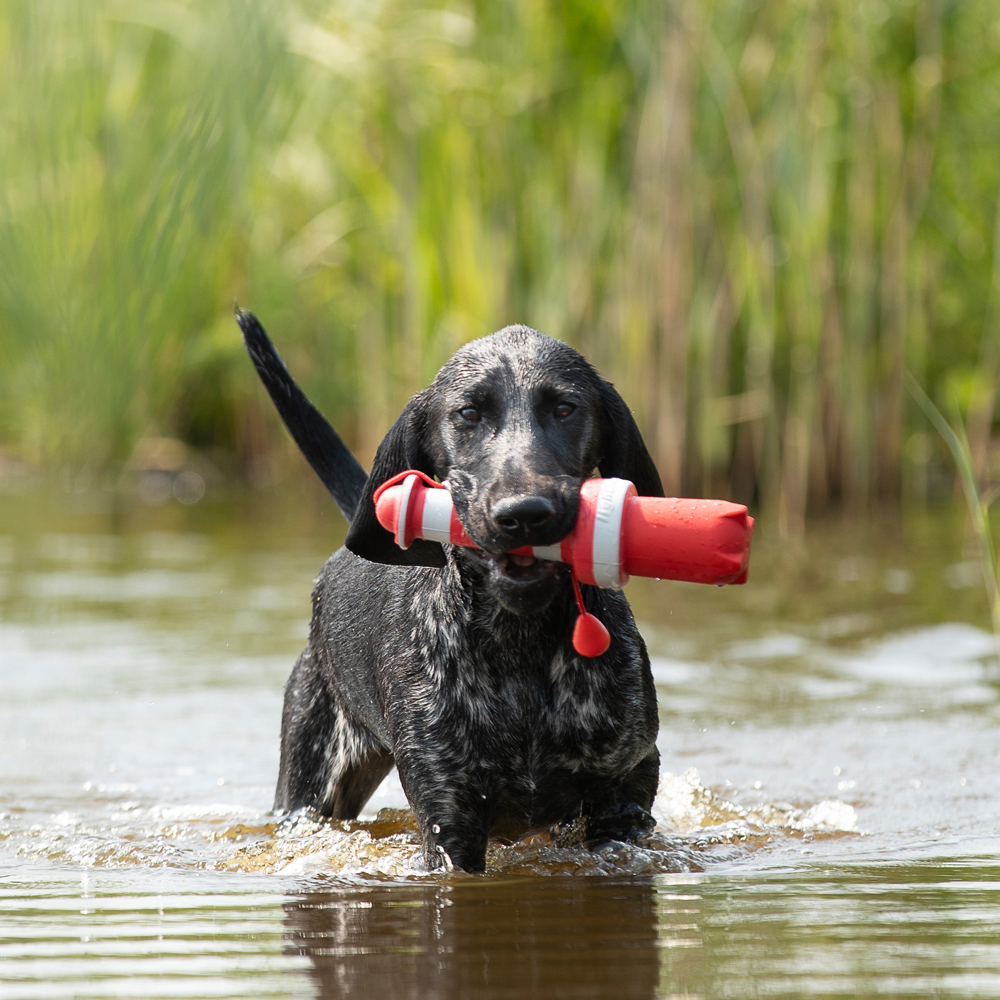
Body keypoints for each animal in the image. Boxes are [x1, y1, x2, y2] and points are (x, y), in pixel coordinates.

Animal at [235, 308, 664, 872]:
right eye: (468, 413)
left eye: (565, 408)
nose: (523, 514)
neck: (520, 645)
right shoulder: (448, 816)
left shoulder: (625, 786)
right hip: (310, 786)